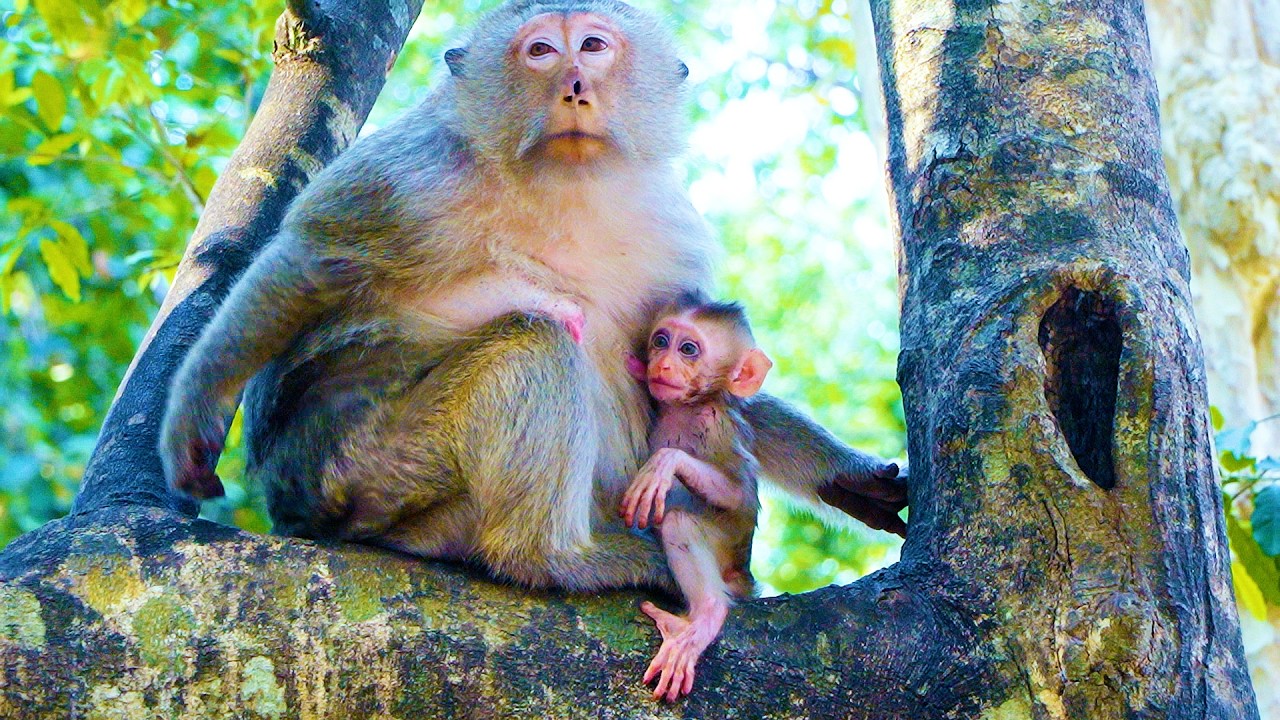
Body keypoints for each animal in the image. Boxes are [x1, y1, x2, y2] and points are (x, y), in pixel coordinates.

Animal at [160, 0, 907, 597]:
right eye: (542, 50)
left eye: (594, 46)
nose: (574, 86)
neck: (560, 183)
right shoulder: (408, 177)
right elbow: (308, 262)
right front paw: (194, 415)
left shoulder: (668, 227)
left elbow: (686, 378)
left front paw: (848, 477)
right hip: (366, 471)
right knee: (538, 339)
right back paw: (550, 558)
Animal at [618, 294, 770, 701]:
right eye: (660, 341)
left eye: (688, 349)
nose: (663, 363)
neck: (687, 407)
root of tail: (743, 572)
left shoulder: (715, 425)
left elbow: (739, 494)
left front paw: (665, 463)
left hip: (724, 550)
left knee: (678, 520)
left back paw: (706, 613)